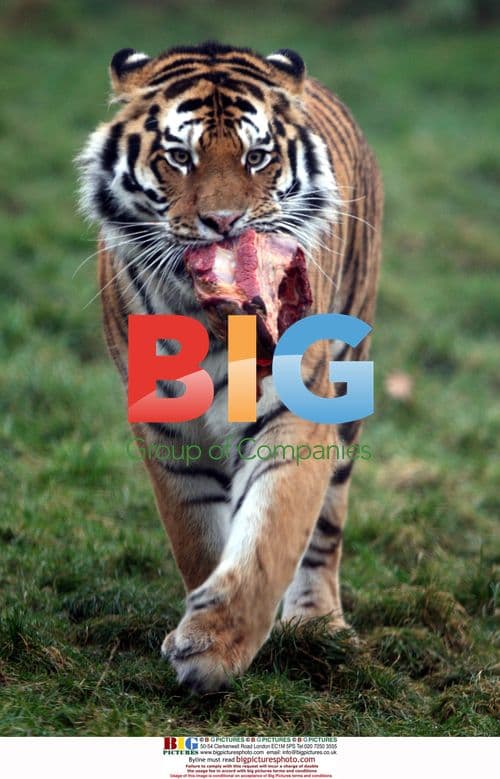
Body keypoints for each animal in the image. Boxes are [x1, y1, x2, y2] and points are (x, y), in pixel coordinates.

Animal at [77, 41, 383, 693]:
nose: (224, 223)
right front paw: (203, 629)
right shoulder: (166, 427)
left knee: (326, 529)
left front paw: (214, 649)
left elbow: (270, 534)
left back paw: (319, 623)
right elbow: (197, 536)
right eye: (179, 157)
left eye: (256, 157)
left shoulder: (296, 412)